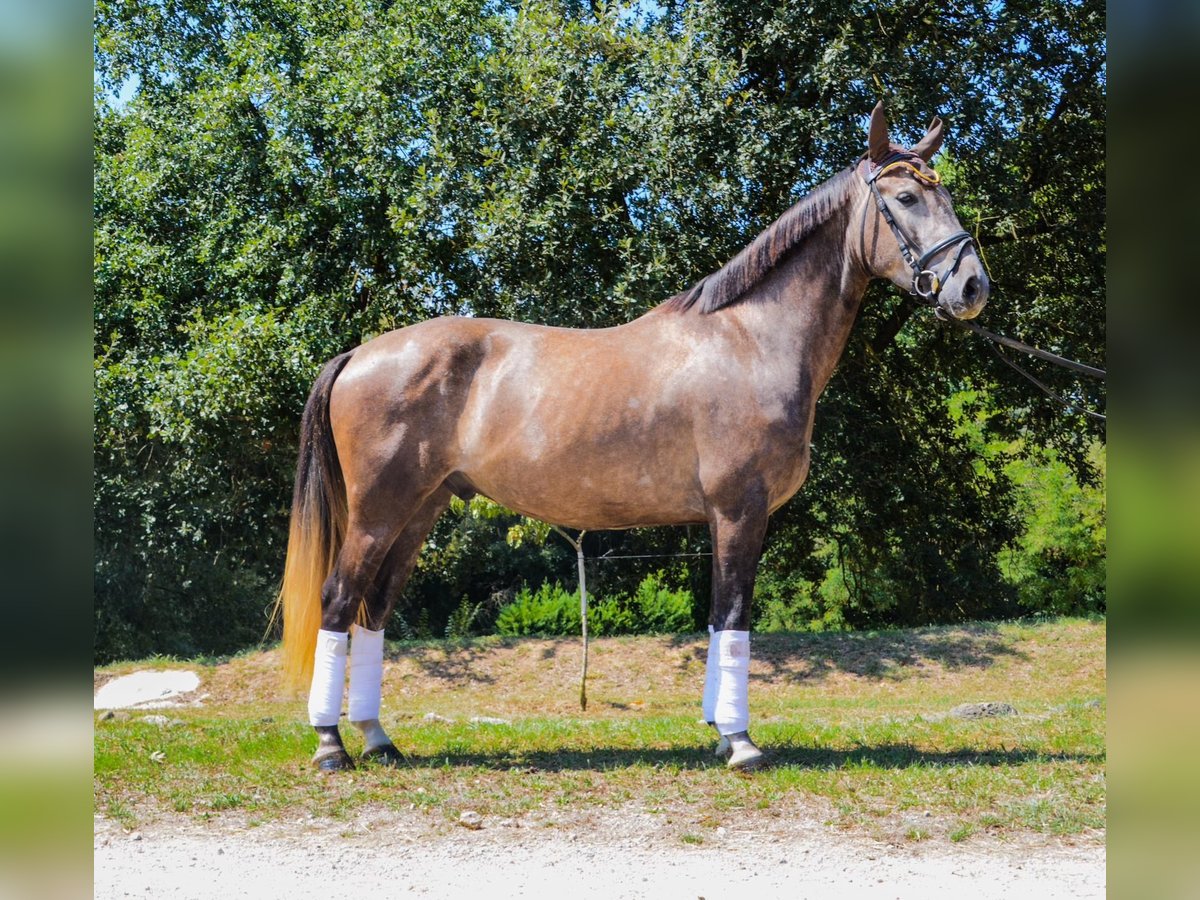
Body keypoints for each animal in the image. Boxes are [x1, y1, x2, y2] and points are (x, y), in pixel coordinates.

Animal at [277, 103, 988, 771]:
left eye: (947, 193)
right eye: (905, 199)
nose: (972, 286)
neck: (751, 340)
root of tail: (360, 354)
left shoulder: (723, 518)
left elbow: (717, 619)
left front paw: (719, 735)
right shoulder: (740, 510)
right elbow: (734, 619)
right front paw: (742, 743)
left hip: (420, 509)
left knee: (372, 611)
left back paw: (377, 738)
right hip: (379, 510)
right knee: (339, 601)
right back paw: (331, 745)